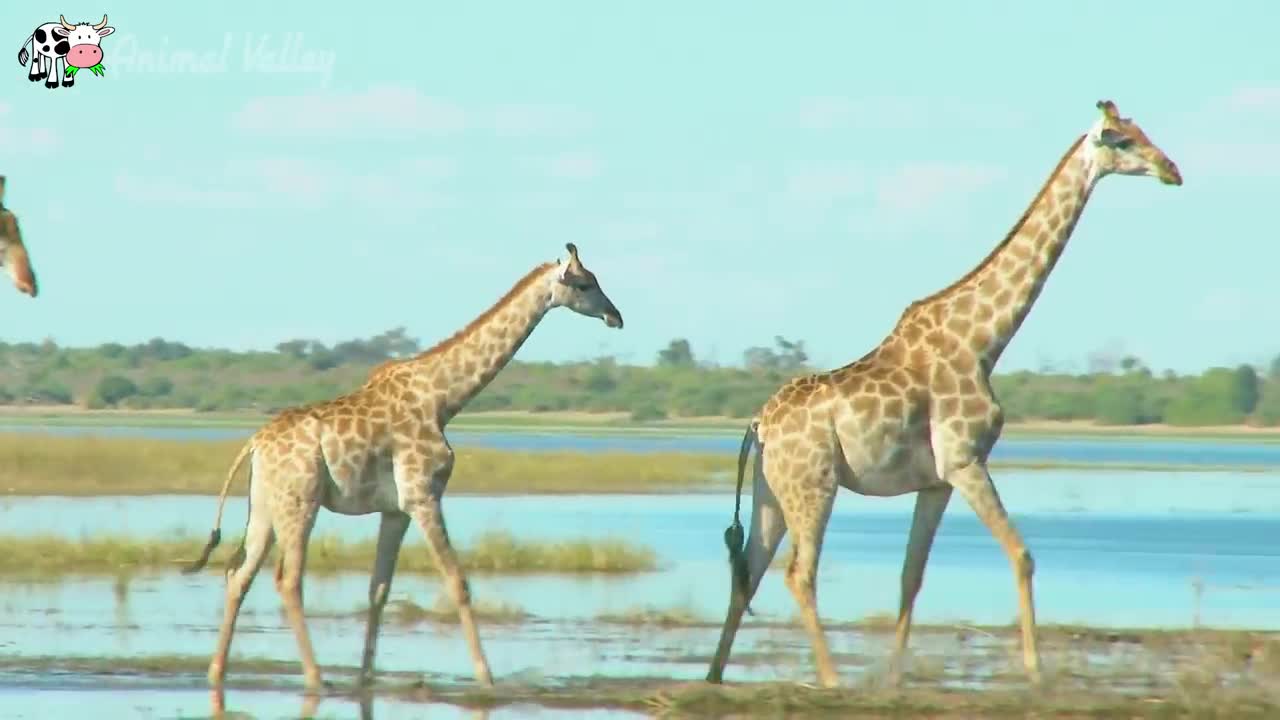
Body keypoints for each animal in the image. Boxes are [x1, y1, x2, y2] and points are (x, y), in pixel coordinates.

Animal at [179, 243, 619, 691]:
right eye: (585, 283)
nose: (615, 316)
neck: (443, 399)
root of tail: (254, 445)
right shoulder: (424, 496)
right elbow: (458, 582)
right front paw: (486, 677)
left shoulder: (395, 510)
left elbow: (379, 589)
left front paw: (365, 677)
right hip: (299, 502)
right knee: (288, 579)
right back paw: (316, 677)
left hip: (265, 507)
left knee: (239, 576)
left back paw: (217, 671)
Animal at [706, 98, 1182, 686]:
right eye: (1121, 139)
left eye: (1141, 131)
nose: (1171, 170)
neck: (983, 341)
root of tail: (759, 426)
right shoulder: (965, 458)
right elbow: (1022, 555)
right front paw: (1035, 673)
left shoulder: (935, 481)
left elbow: (911, 575)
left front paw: (893, 678)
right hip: (813, 484)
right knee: (799, 572)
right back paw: (833, 679)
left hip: (772, 491)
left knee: (748, 569)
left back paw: (715, 675)